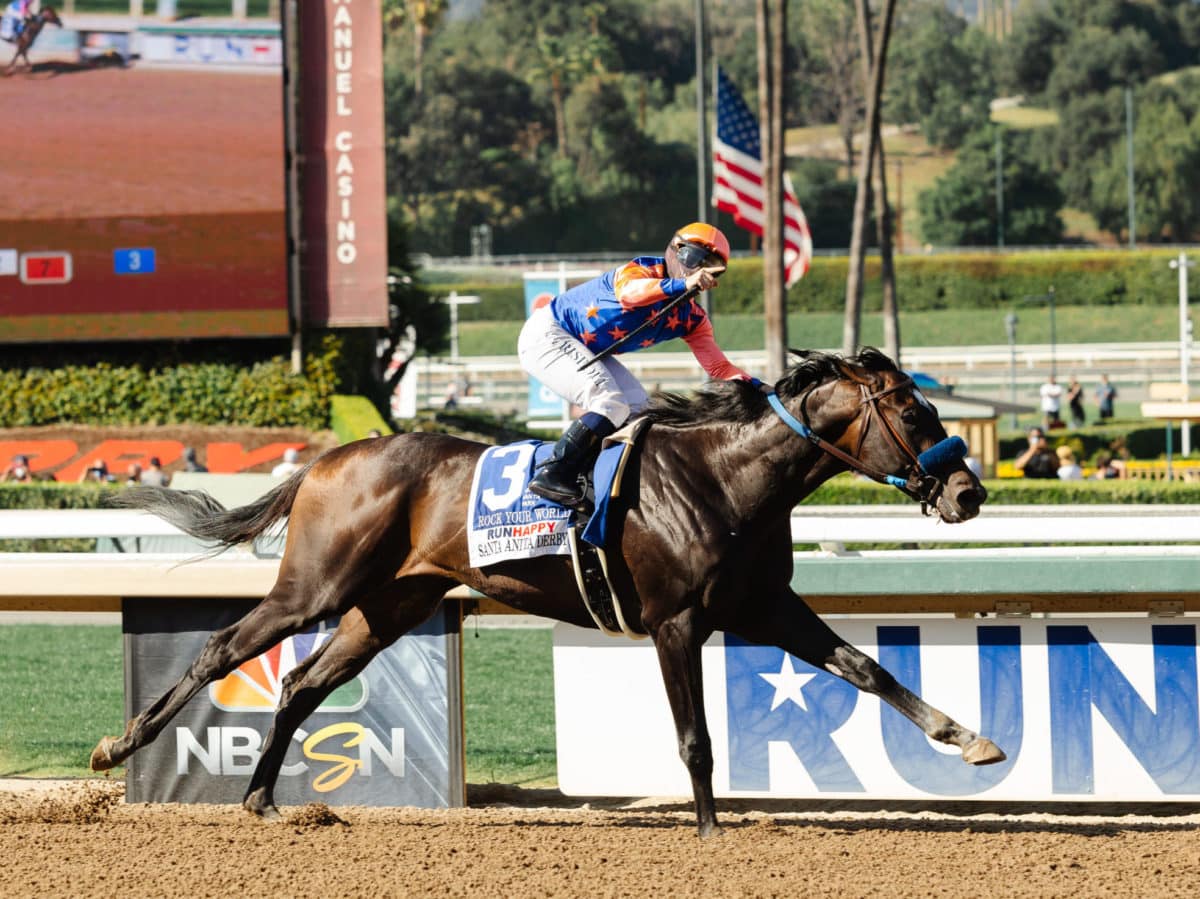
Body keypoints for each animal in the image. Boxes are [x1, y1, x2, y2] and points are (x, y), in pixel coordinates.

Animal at [88, 348, 998, 840]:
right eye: (914, 412)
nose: (969, 493)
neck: (724, 477)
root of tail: (326, 459)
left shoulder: (763, 607)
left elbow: (868, 669)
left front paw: (969, 738)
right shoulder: (676, 622)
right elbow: (696, 737)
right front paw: (710, 828)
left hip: (387, 608)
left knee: (301, 684)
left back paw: (261, 798)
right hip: (317, 584)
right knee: (222, 649)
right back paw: (120, 746)